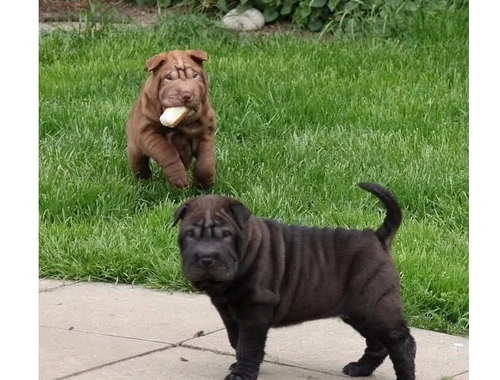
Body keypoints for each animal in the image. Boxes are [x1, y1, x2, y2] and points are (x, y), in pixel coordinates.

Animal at [125, 49, 215, 189]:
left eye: (195, 75)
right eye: (169, 78)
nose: (186, 95)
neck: (183, 123)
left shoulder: (206, 131)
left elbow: (206, 159)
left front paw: (204, 183)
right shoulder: (149, 132)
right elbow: (168, 153)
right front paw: (179, 179)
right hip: (134, 148)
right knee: (139, 165)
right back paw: (144, 183)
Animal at [174, 183, 416, 378]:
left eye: (226, 235)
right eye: (189, 234)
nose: (206, 258)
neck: (247, 251)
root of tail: (377, 237)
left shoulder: (255, 308)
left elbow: (248, 345)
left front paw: (242, 374)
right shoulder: (228, 313)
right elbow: (236, 340)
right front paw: (240, 366)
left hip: (376, 304)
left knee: (401, 342)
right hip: (359, 311)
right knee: (377, 342)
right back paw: (360, 368)